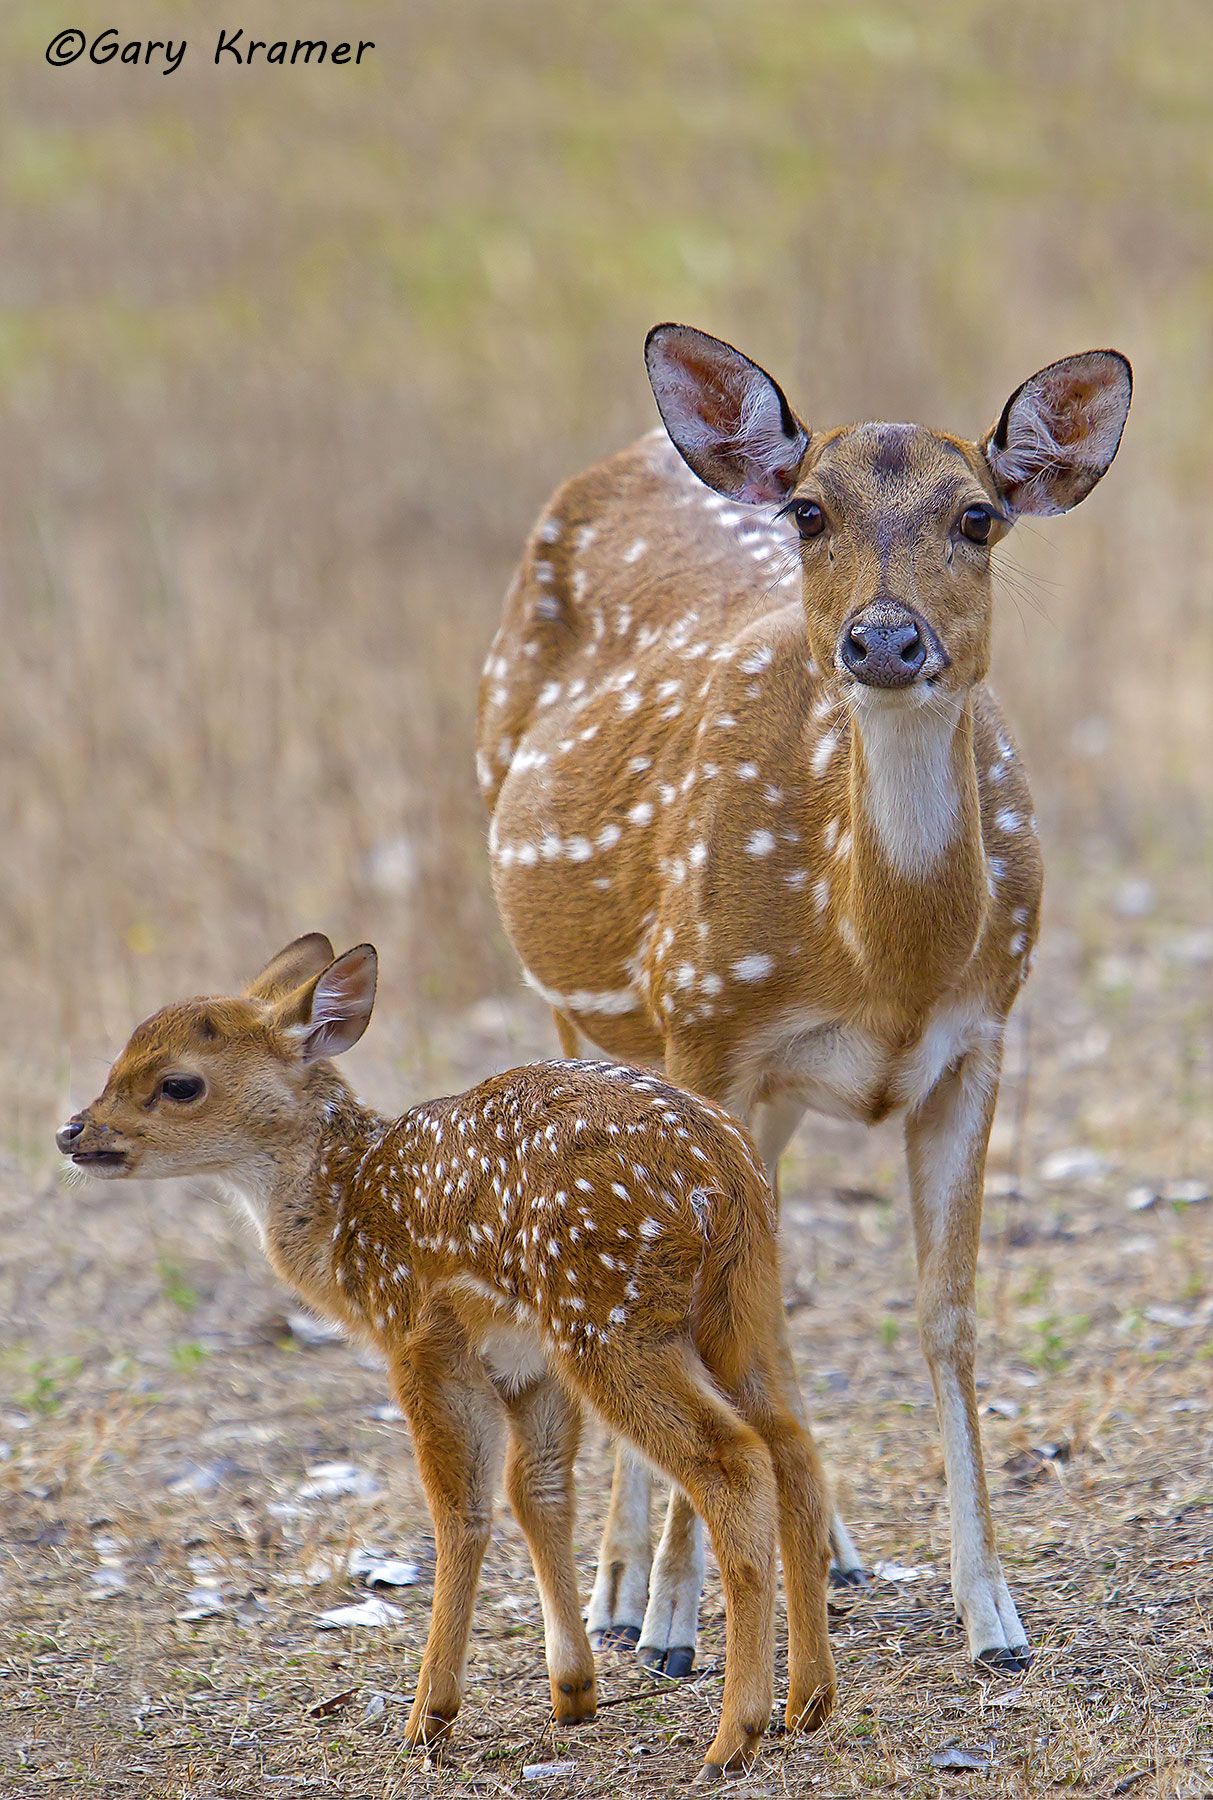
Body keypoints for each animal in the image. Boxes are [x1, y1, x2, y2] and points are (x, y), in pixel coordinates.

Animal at [56, 933, 837, 1780]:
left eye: (177, 1083)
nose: (74, 1132)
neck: (345, 1213)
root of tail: (721, 1175)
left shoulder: (420, 1335)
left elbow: (458, 1509)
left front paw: (428, 1716)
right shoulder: (527, 1359)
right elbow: (538, 1492)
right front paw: (572, 1691)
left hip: (610, 1316)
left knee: (734, 1462)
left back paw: (735, 1735)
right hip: (737, 1307)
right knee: (793, 1446)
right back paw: (808, 1703)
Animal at [477, 324, 1132, 1680]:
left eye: (979, 515)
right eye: (810, 513)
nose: (884, 642)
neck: (884, 961)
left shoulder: (978, 1039)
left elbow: (946, 1315)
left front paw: (994, 1617)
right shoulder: (707, 1025)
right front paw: (675, 1622)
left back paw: (815, 1549)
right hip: (594, 1010)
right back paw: (621, 1592)